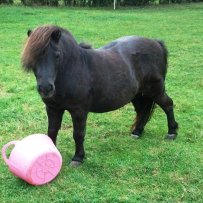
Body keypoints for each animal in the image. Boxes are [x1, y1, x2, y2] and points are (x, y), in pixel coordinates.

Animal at [21, 24, 178, 166]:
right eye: (32, 57)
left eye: (57, 55)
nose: (45, 88)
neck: (73, 69)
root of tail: (156, 43)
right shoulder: (53, 108)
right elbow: (52, 131)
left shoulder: (79, 111)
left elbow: (78, 133)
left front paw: (78, 158)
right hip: (138, 95)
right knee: (142, 111)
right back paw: (137, 132)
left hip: (156, 90)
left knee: (168, 104)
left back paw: (172, 132)